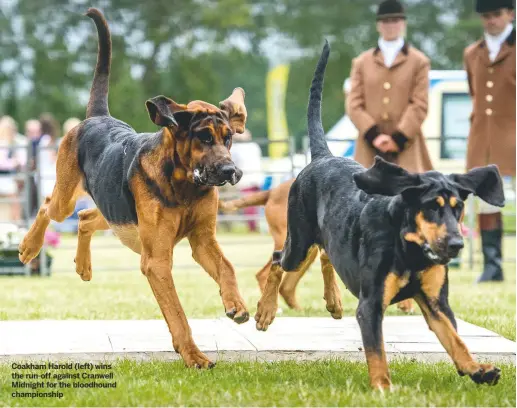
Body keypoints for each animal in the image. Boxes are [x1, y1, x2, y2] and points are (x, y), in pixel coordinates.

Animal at [17, 9, 249, 368]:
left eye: (228, 138)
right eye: (203, 137)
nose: (231, 171)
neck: (183, 183)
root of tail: (98, 116)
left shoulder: (202, 241)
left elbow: (227, 266)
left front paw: (235, 303)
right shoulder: (156, 260)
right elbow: (178, 314)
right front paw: (194, 356)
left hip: (116, 216)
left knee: (85, 218)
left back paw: (83, 265)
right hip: (68, 199)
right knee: (46, 205)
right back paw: (29, 247)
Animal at [255, 41, 504, 388]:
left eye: (458, 209)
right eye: (432, 207)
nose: (457, 244)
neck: (408, 246)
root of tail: (323, 156)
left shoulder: (436, 303)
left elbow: (455, 339)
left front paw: (477, 368)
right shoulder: (371, 304)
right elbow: (376, 349)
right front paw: (383, 388)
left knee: (326, 254)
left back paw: (333, 301)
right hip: (298, 240)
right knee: (279, 260)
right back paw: (266, 311)